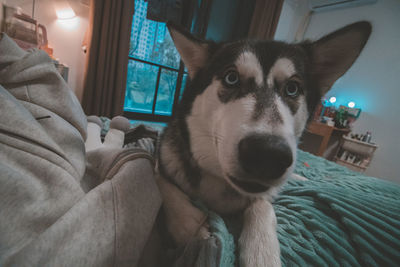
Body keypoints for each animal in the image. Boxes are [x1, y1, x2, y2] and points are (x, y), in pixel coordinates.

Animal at [157, 22, 372, 266]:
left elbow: (262, 205)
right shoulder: (163, 157)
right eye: (231, 78)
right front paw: (189, 225)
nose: (267, 154)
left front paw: (262, 250)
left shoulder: (265, 194)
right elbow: (161, 182)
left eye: (292, 88)